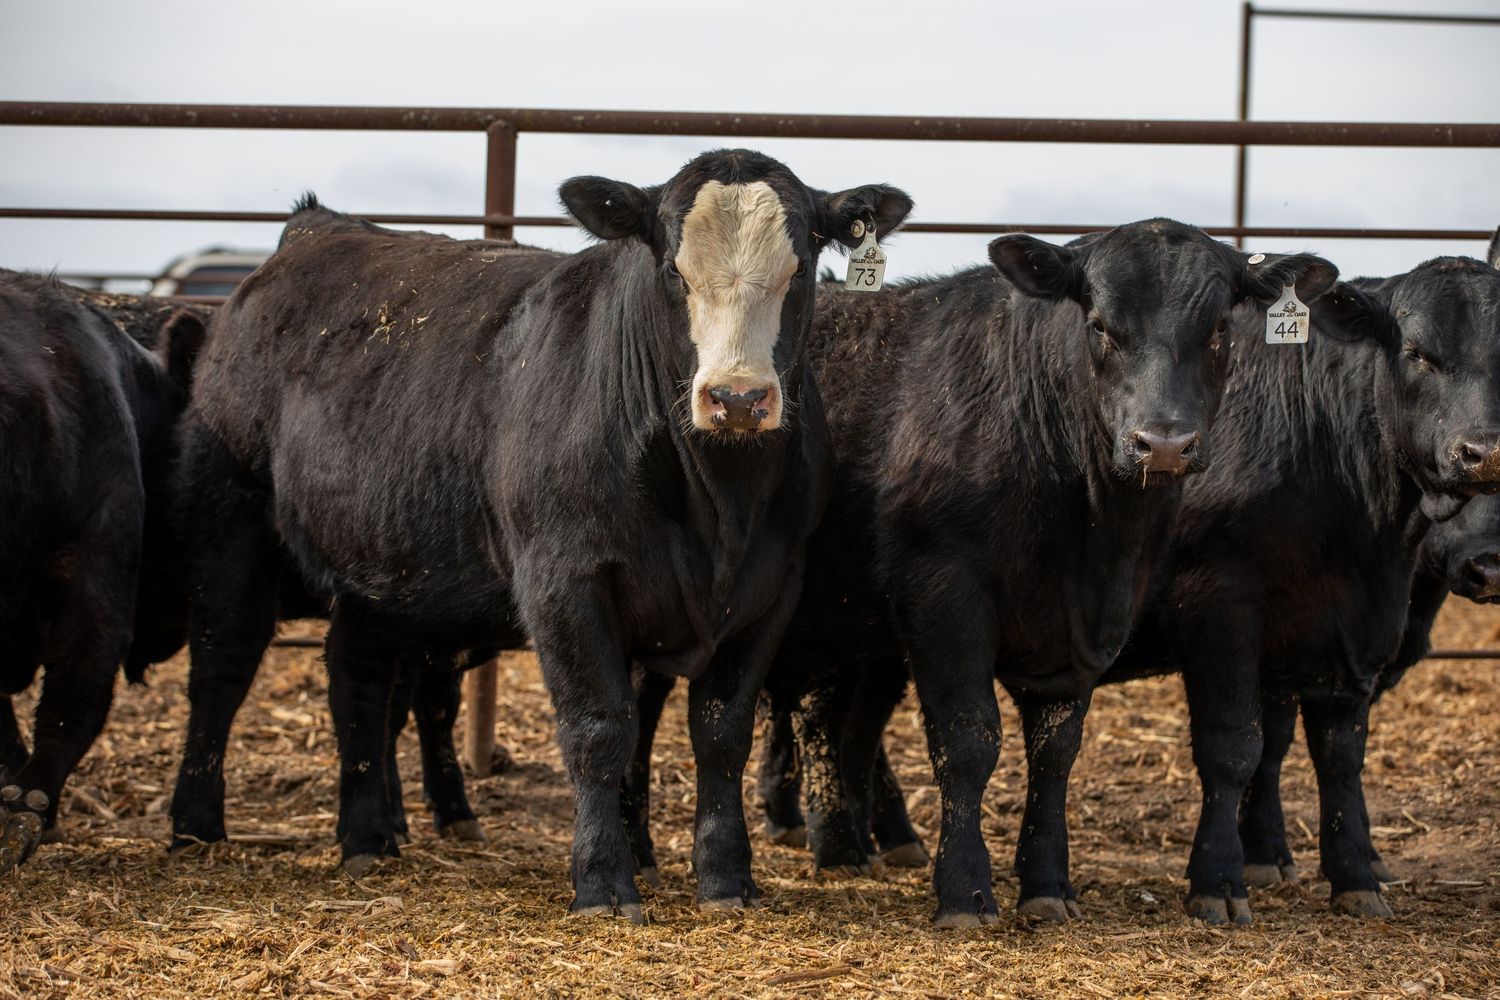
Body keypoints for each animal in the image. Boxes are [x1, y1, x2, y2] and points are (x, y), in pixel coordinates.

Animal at [168, 152, 911, 920]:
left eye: (800, 269)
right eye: (672, 270)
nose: (737, 398)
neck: (717, 500)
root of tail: (314, 228)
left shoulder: (768, 588)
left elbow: (719, 733)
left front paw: (726, 877)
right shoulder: (564, 581)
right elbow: (600, 729)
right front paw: (604, 880)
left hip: (379, 569)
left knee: (358, 680)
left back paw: (368, 837)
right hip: (233, 526)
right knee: (223, 664)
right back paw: (198, 827)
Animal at [620, 222, 1337, 927]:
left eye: (1218, 328)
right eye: (1099, 324)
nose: (1162, 443)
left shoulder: (1086, 624)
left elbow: (1055, 749)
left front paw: (1047, 884)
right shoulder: (944, 590)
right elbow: (967, 739)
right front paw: (964, 890)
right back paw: (639, 854)